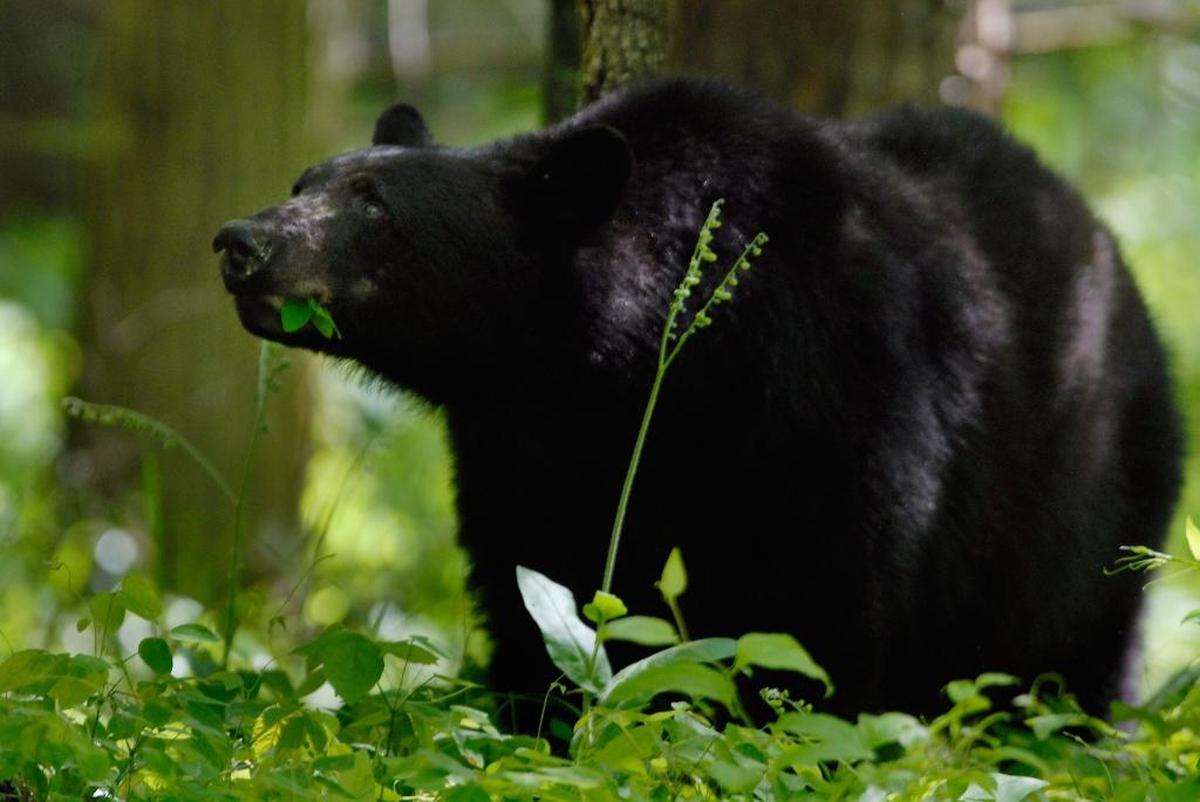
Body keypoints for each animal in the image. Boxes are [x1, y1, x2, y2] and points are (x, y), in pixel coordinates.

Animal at [213, 77, 1182, 719]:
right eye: (304, 181)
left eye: (375, 205)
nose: (241, 241)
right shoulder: (522, 448)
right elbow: (536, 594)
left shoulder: (832, 396)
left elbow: (811, 617)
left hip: (1090, 508)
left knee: (1075, 655)